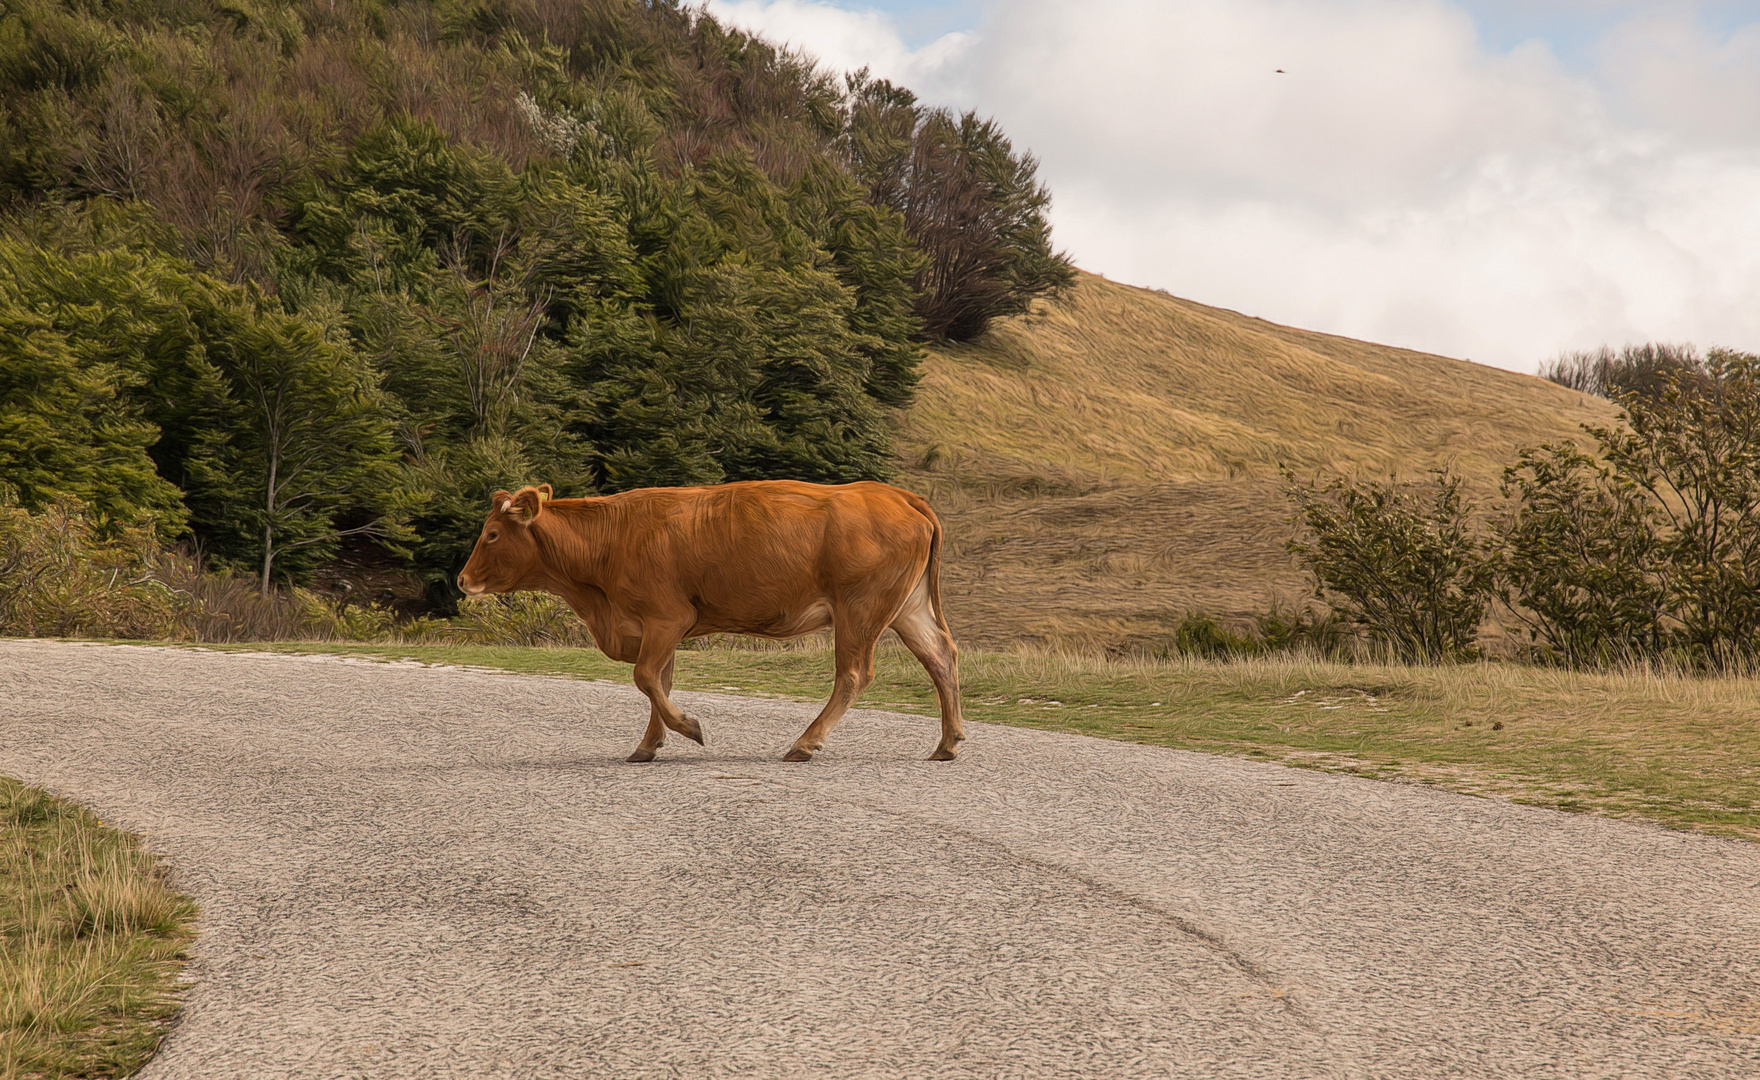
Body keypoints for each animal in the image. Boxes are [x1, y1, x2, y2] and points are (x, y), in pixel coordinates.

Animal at [454, 481, 964, 770]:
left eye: (492, 534)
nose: (461, 580)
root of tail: (894, 493)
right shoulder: (658, 627)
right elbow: (659, 681)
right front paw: (649, 745)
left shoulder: (666, 617)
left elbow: (645, 678)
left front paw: (689, 727)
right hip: (906, 607)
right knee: (940, 656)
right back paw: (948, 743)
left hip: (860, 608)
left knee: (854, 674)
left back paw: (805, 743)